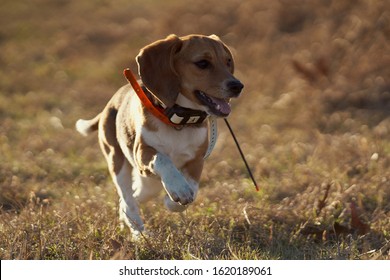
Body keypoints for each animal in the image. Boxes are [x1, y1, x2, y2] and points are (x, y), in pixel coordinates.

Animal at [74, 34, 242, 237]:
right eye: (202, 63)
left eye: (228, 61)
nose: (237, 86)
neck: (178, 122)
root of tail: (110, 104)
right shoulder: (142, 153)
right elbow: (163, 159)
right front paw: (179, 189)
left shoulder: (196, 160)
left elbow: (193, 189)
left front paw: (173, 200)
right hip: (118, 163)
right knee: (128, 201)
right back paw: (139, 234)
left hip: (148, 182)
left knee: (134, 197)